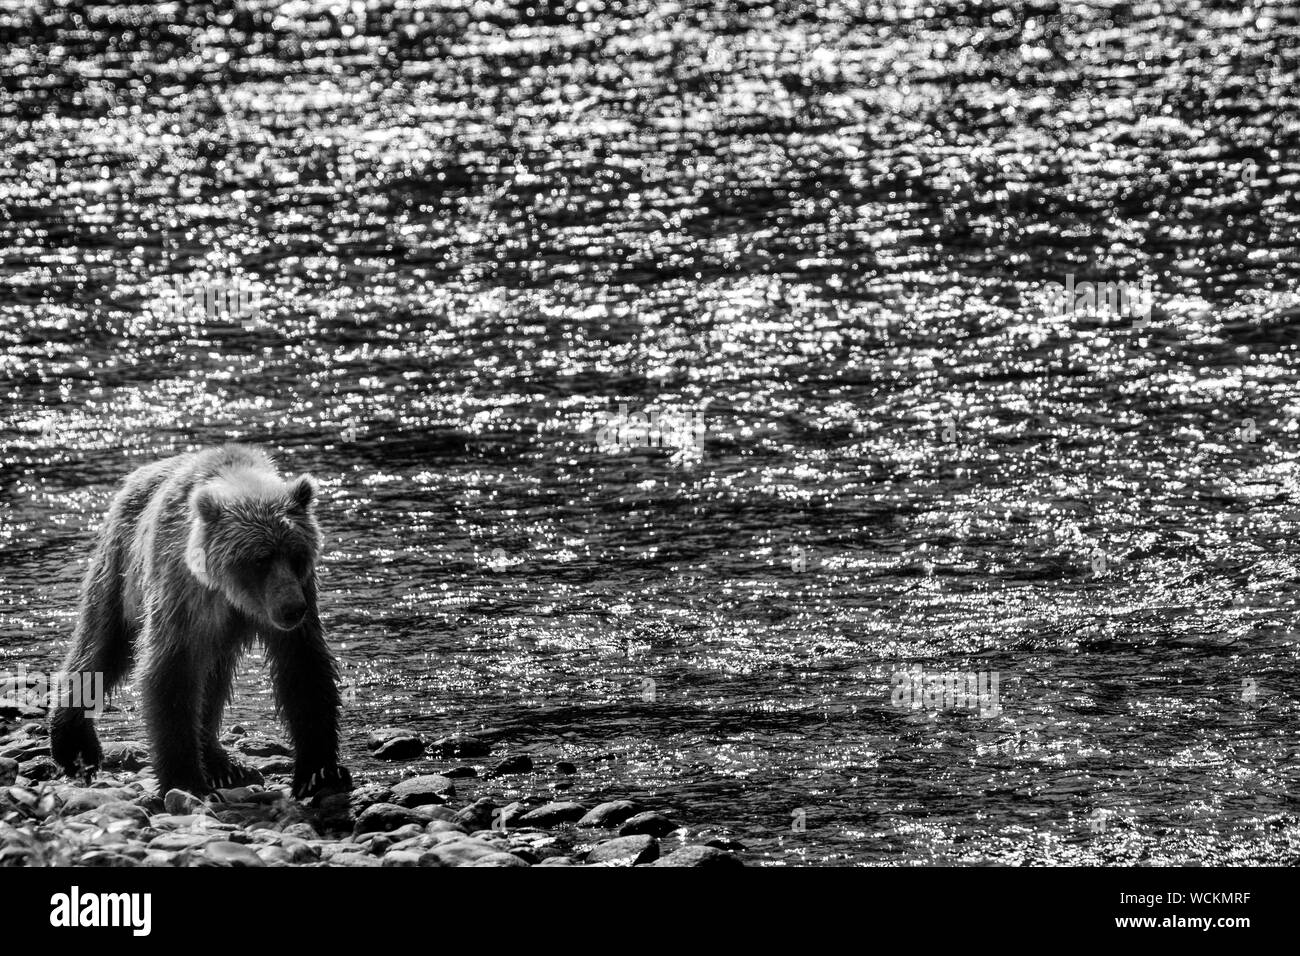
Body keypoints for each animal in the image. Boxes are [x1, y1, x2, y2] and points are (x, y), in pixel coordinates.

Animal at [51, 447, 351, 801]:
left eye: (296, 554)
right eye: (260, 559)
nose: (292, 609)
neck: (232, 593)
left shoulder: (298, 595)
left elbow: (304, 667)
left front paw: (318, 773)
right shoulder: (184, 593)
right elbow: (171, 671)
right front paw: (184, 778)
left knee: (212, 681)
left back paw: (222, 763)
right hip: (120, 570)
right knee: (101, 646)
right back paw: (73, 744)